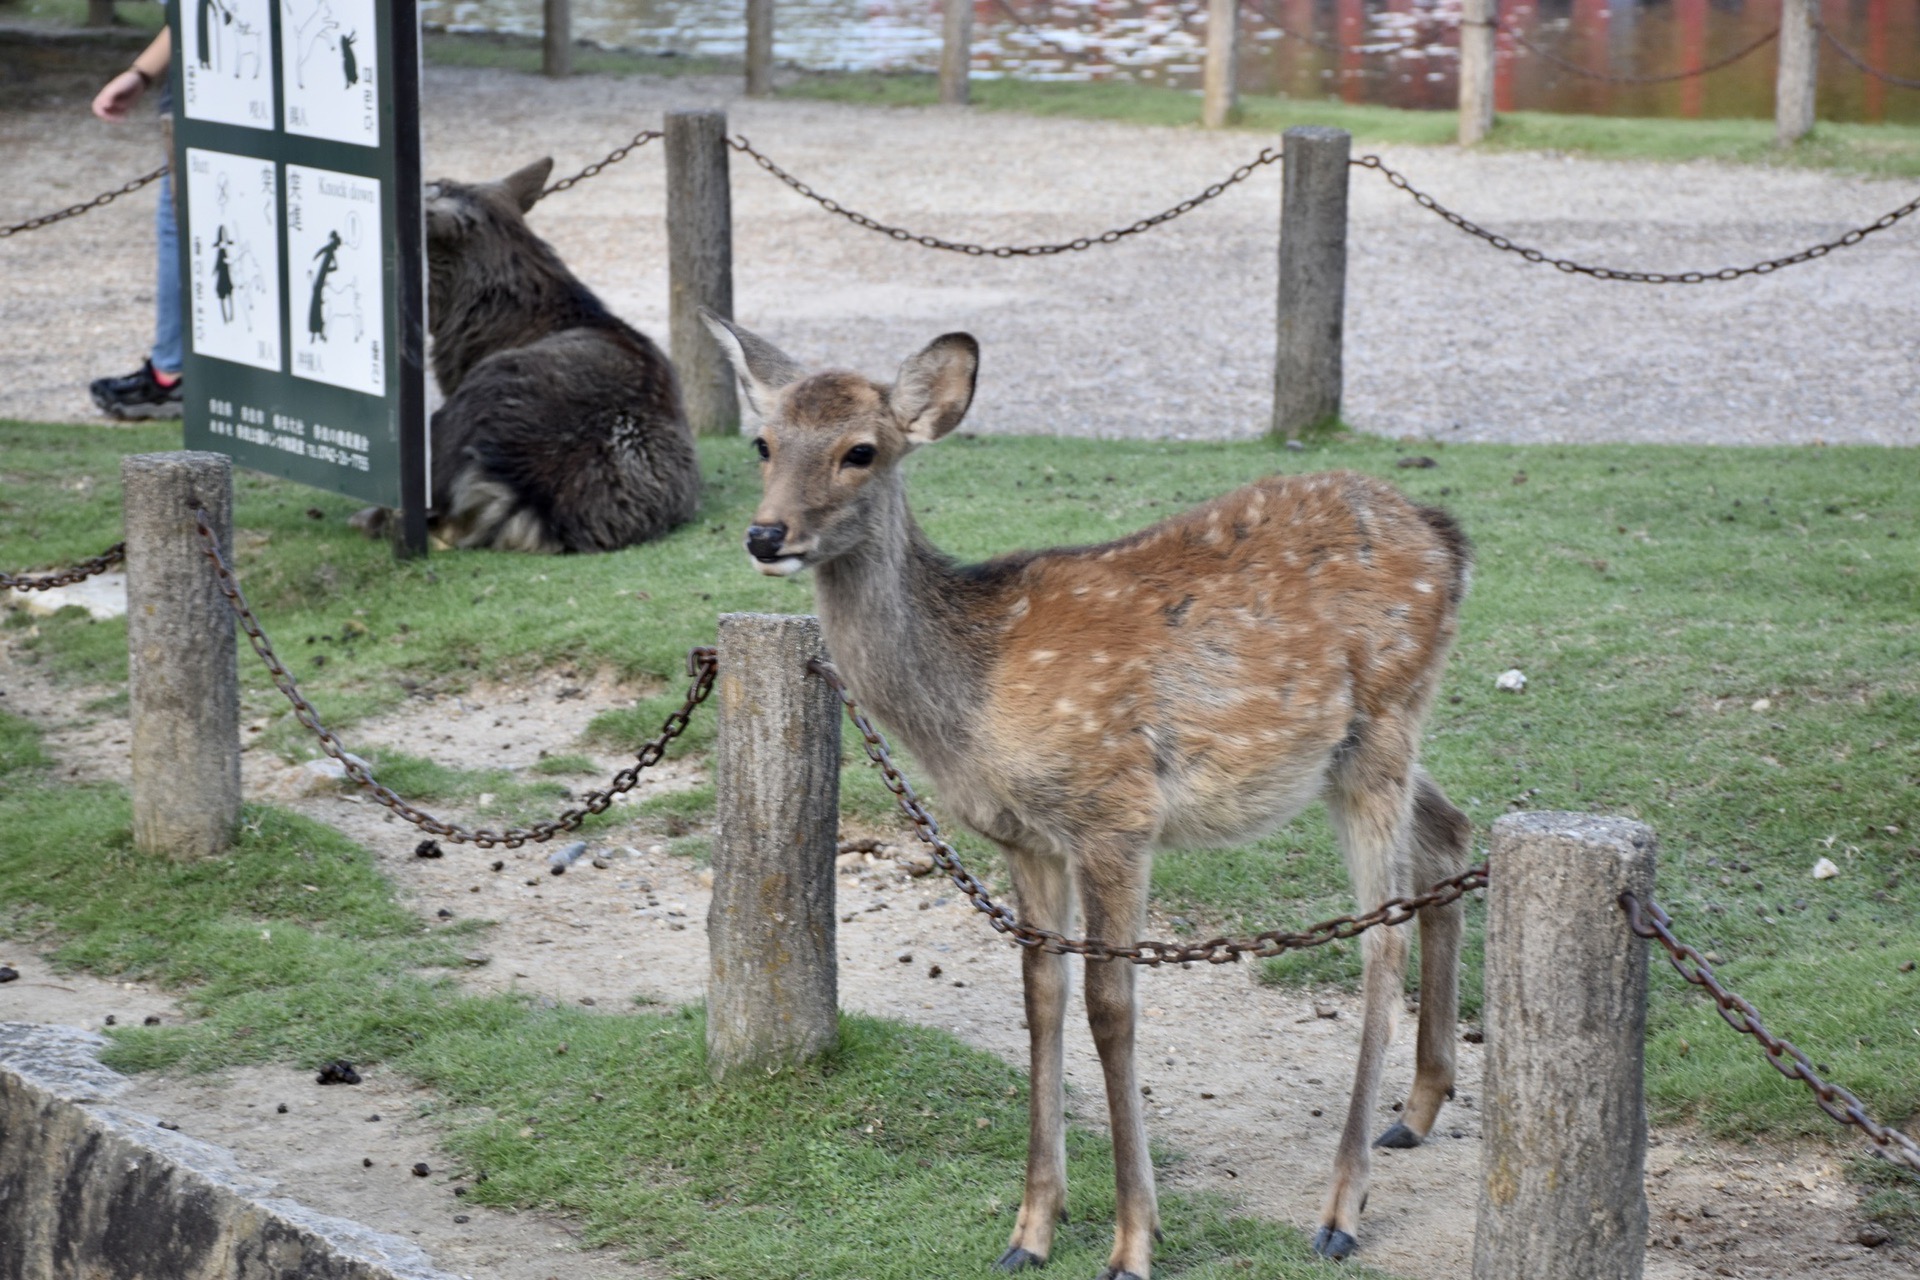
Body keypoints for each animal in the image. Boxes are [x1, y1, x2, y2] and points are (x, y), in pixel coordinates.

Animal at [714, 314, 1474, 1274]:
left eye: (861, 451)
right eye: (763, 441)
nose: (765, 535)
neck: (973, 696)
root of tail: (1449, 540)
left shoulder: (1115, 812)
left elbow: (1114, 1009)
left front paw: (1133, 1240)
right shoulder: (1025, 836)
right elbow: (1043, 997)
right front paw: (1031, 1229)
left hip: (1383, 721)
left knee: (1384, 934)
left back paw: (1341, 1209)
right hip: (1363, 745)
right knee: (1450, 835)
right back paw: (1416, 1112)